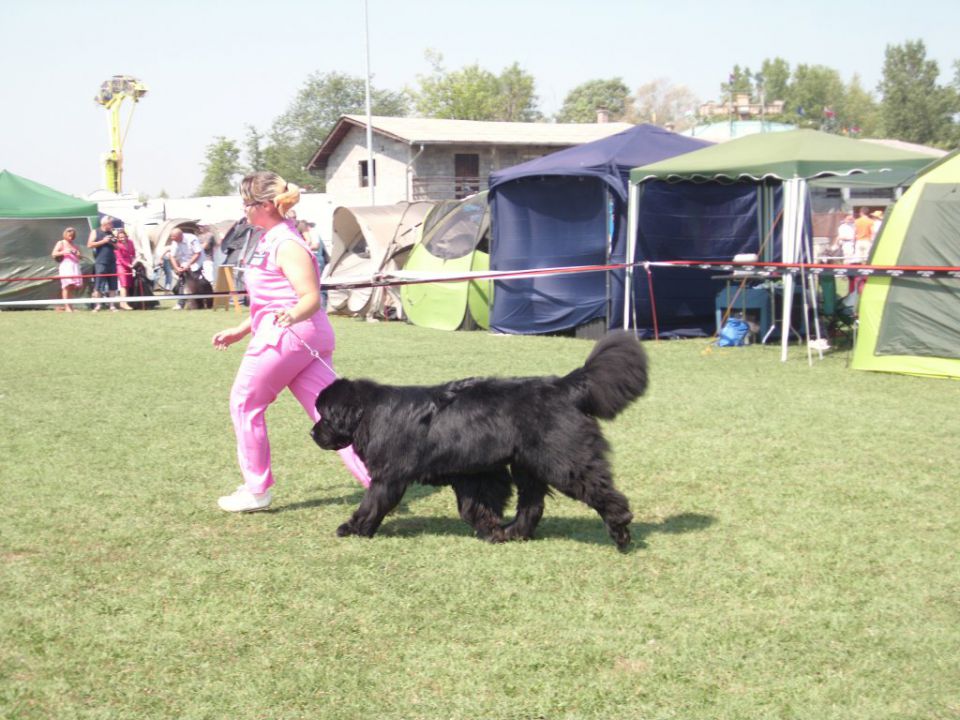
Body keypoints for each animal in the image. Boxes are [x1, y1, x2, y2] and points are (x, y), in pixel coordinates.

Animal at [312, 334, 648, 548]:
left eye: (324, 416)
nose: (312, 433)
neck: (369, 413)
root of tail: (563, 386)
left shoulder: (389, 475)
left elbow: (373, 502)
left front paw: (353, 528)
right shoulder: (472, 471)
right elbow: (473, 506)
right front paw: (492, 530)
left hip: (562, 458)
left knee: (596, 488)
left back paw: (620, 529)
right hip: (527, 463)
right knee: (532, 504)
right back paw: (515, 533)